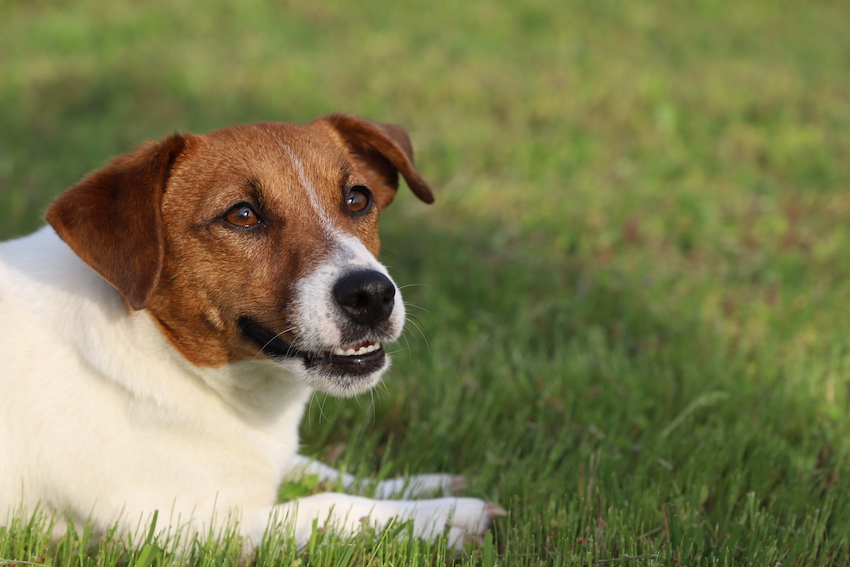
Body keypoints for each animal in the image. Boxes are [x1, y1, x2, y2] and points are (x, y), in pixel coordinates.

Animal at [0, 115, 504, 552]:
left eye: (357, 198)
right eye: (241, 215)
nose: (372, 294)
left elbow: (324, 469)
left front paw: (416, 482)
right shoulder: (173, 525)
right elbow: (326, 506)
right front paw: (442, 517)